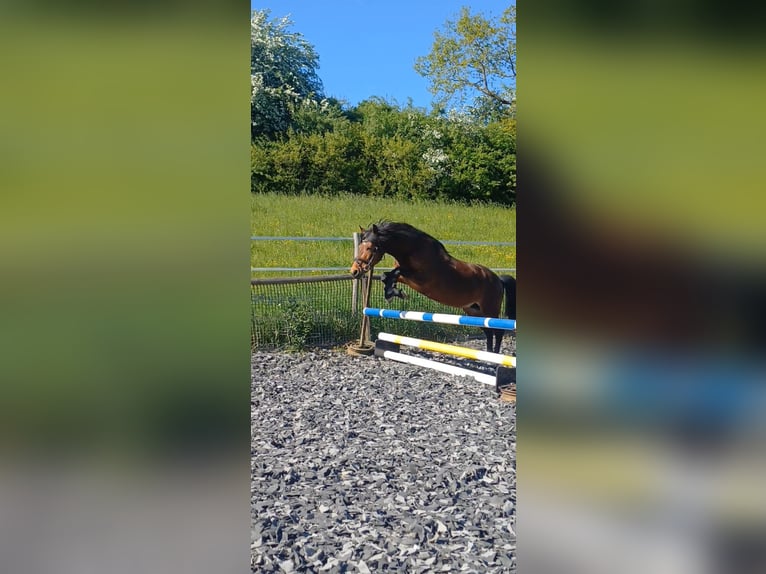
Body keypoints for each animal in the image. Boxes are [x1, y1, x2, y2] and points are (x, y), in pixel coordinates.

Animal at [350, 221, 516, 353]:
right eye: (360, 246)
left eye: (371, 248)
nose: (354, 271)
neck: (413, 250)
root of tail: (498, 279)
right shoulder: (407, 277)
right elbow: (387, 276)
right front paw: (393, 292)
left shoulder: (421, 278)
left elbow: (397, 272)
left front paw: (393, 293)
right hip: (474, 311)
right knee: (489, 332)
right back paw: (489, 355)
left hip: (490, 309)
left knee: (498, 331)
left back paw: (495, 357)